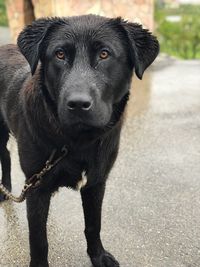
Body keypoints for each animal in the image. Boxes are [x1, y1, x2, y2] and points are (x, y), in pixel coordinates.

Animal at [0, 15, 159, 267]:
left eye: (104, 54)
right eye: (59, 54)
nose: (77, 104)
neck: (77, 141)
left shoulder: (96, 182)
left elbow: (93, 225)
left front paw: (98, 256)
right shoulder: (36, 187)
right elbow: (38, 239)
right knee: (5, 155)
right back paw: (4, 189)